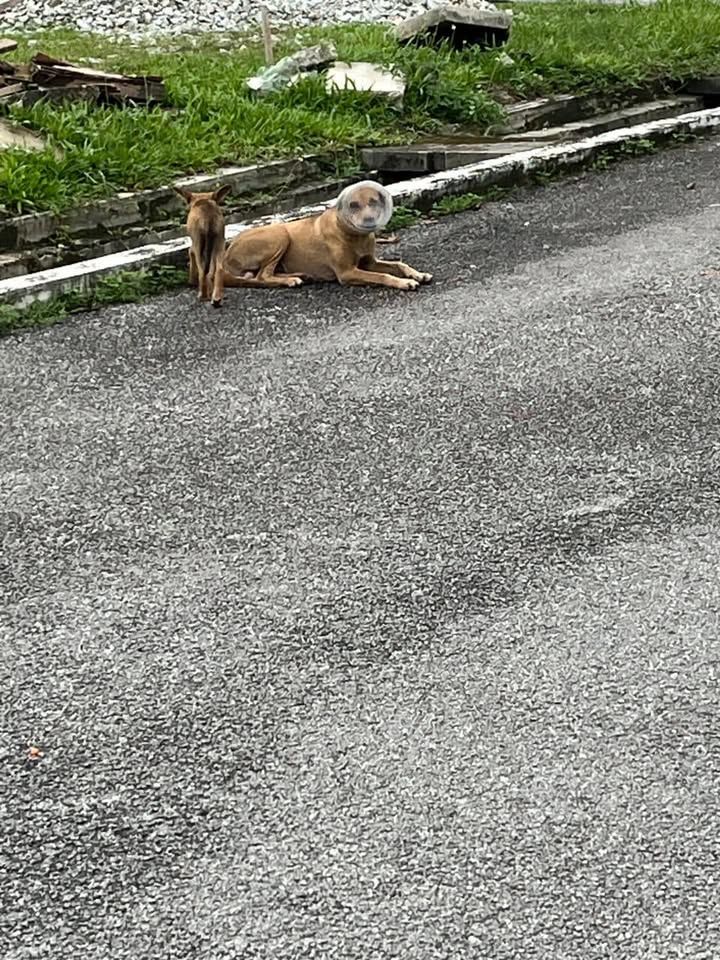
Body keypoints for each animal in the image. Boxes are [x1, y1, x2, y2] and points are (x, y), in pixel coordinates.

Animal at [222, 180, 430, 290]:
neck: (355, 235)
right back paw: (290, 280)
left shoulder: (369, 262)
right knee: (262, 277)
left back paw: (301, 275)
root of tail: (227, 254)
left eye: (373, 202)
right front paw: (404, 282)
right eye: (353, 205)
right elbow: (383, 276)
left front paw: (417, 274)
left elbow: (398, 264)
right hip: (279, 235)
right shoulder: (347, 273)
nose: (369, 220)